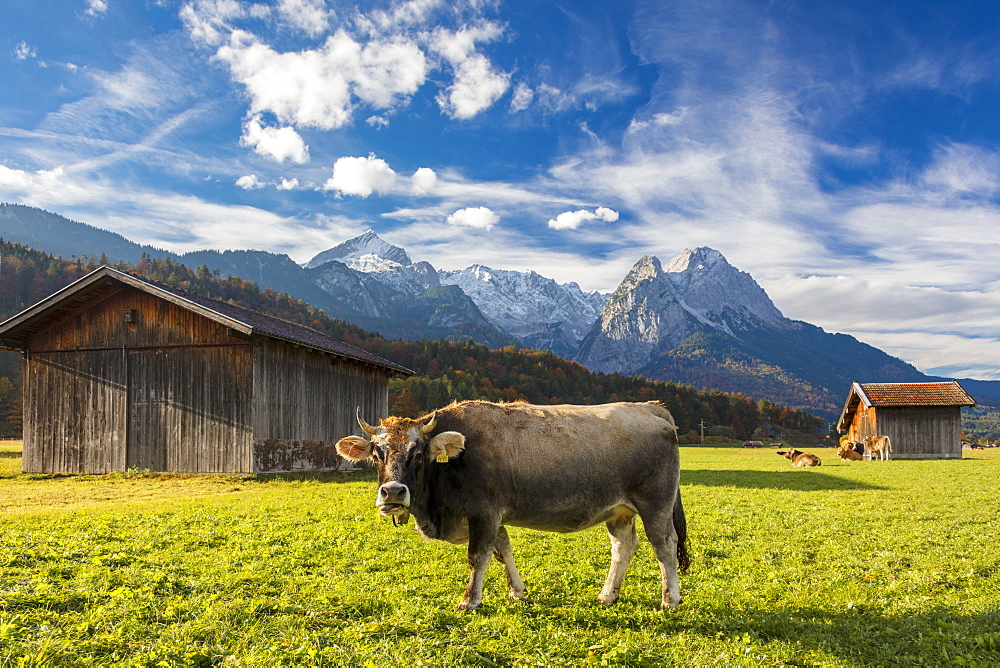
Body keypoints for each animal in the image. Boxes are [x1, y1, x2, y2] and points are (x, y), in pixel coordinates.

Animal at [336, 400, 688, 612]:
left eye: (418, 454)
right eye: (376, 454)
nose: (393, 492)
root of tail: (650, 408)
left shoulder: (484, 511)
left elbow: (478, 556)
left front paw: (470, 601)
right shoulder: (493, 517)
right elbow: (503, 550)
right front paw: (517, 591)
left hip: (655, 504)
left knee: (665, 546)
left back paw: (670, 600)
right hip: (619, 511)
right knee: (623, 547)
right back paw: (607, 595)